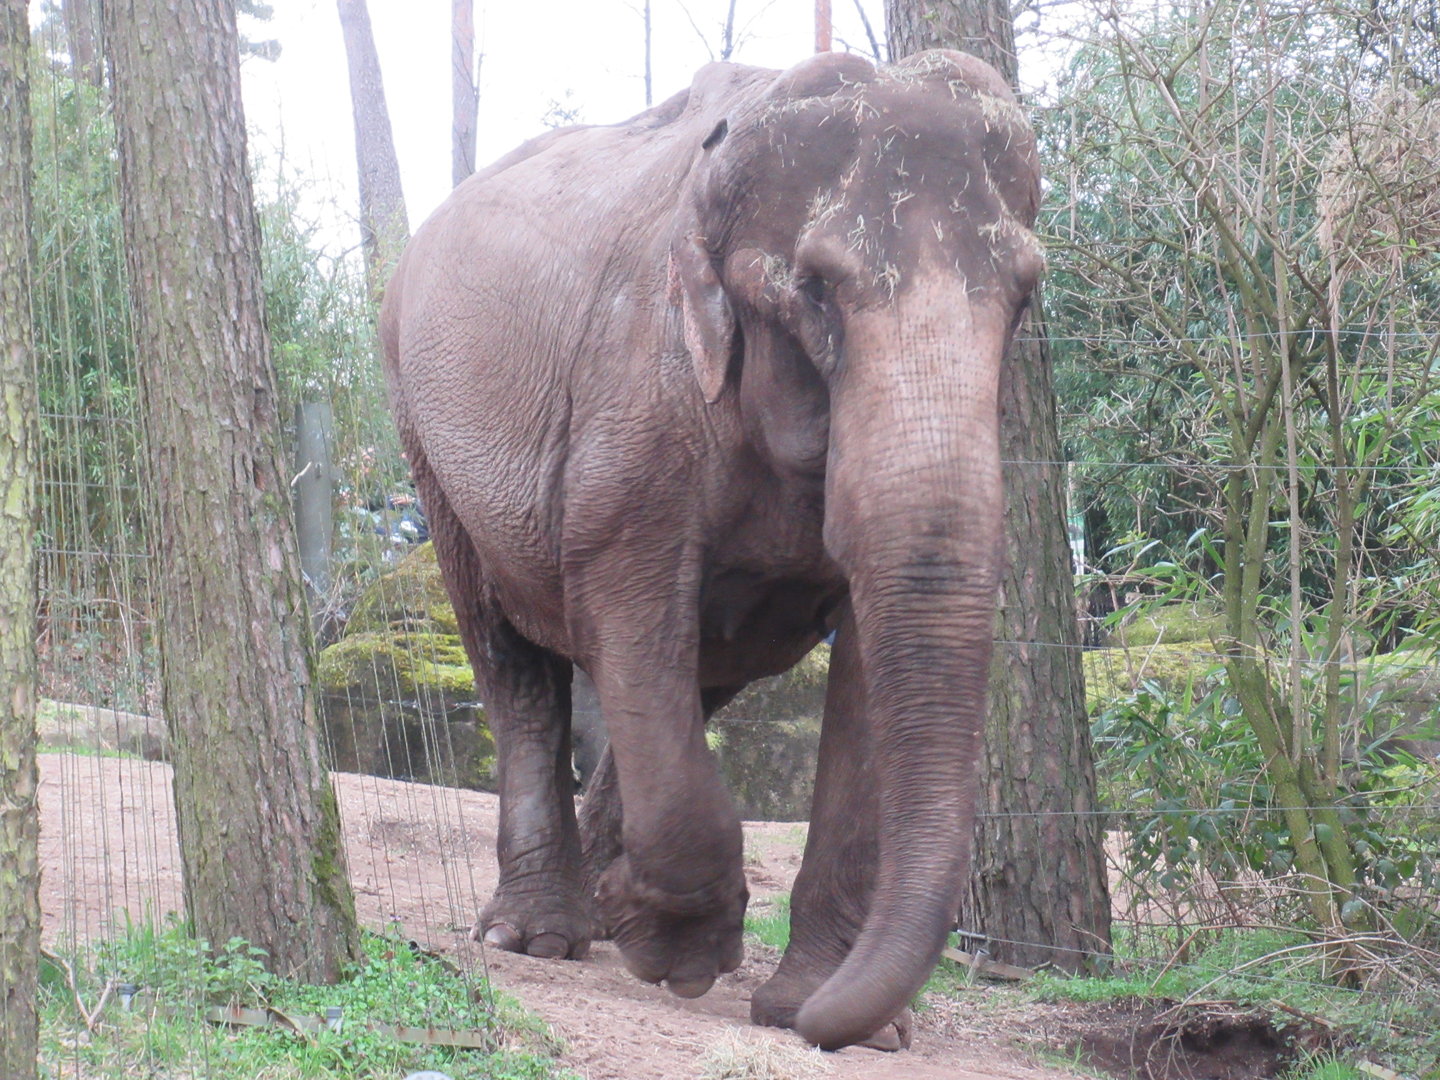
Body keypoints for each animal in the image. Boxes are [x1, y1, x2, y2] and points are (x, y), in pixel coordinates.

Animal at [379, 48, 1043, 1051]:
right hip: (425, 444)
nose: (824, 1024)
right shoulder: (635, 400)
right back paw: (536, 936)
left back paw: (605, 905)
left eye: (1025, 294)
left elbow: (860, 669)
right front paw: (684, 960)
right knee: (516, 663)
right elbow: (623, 597)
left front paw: (820, 1010)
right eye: (815, 288)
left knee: (693, 675)